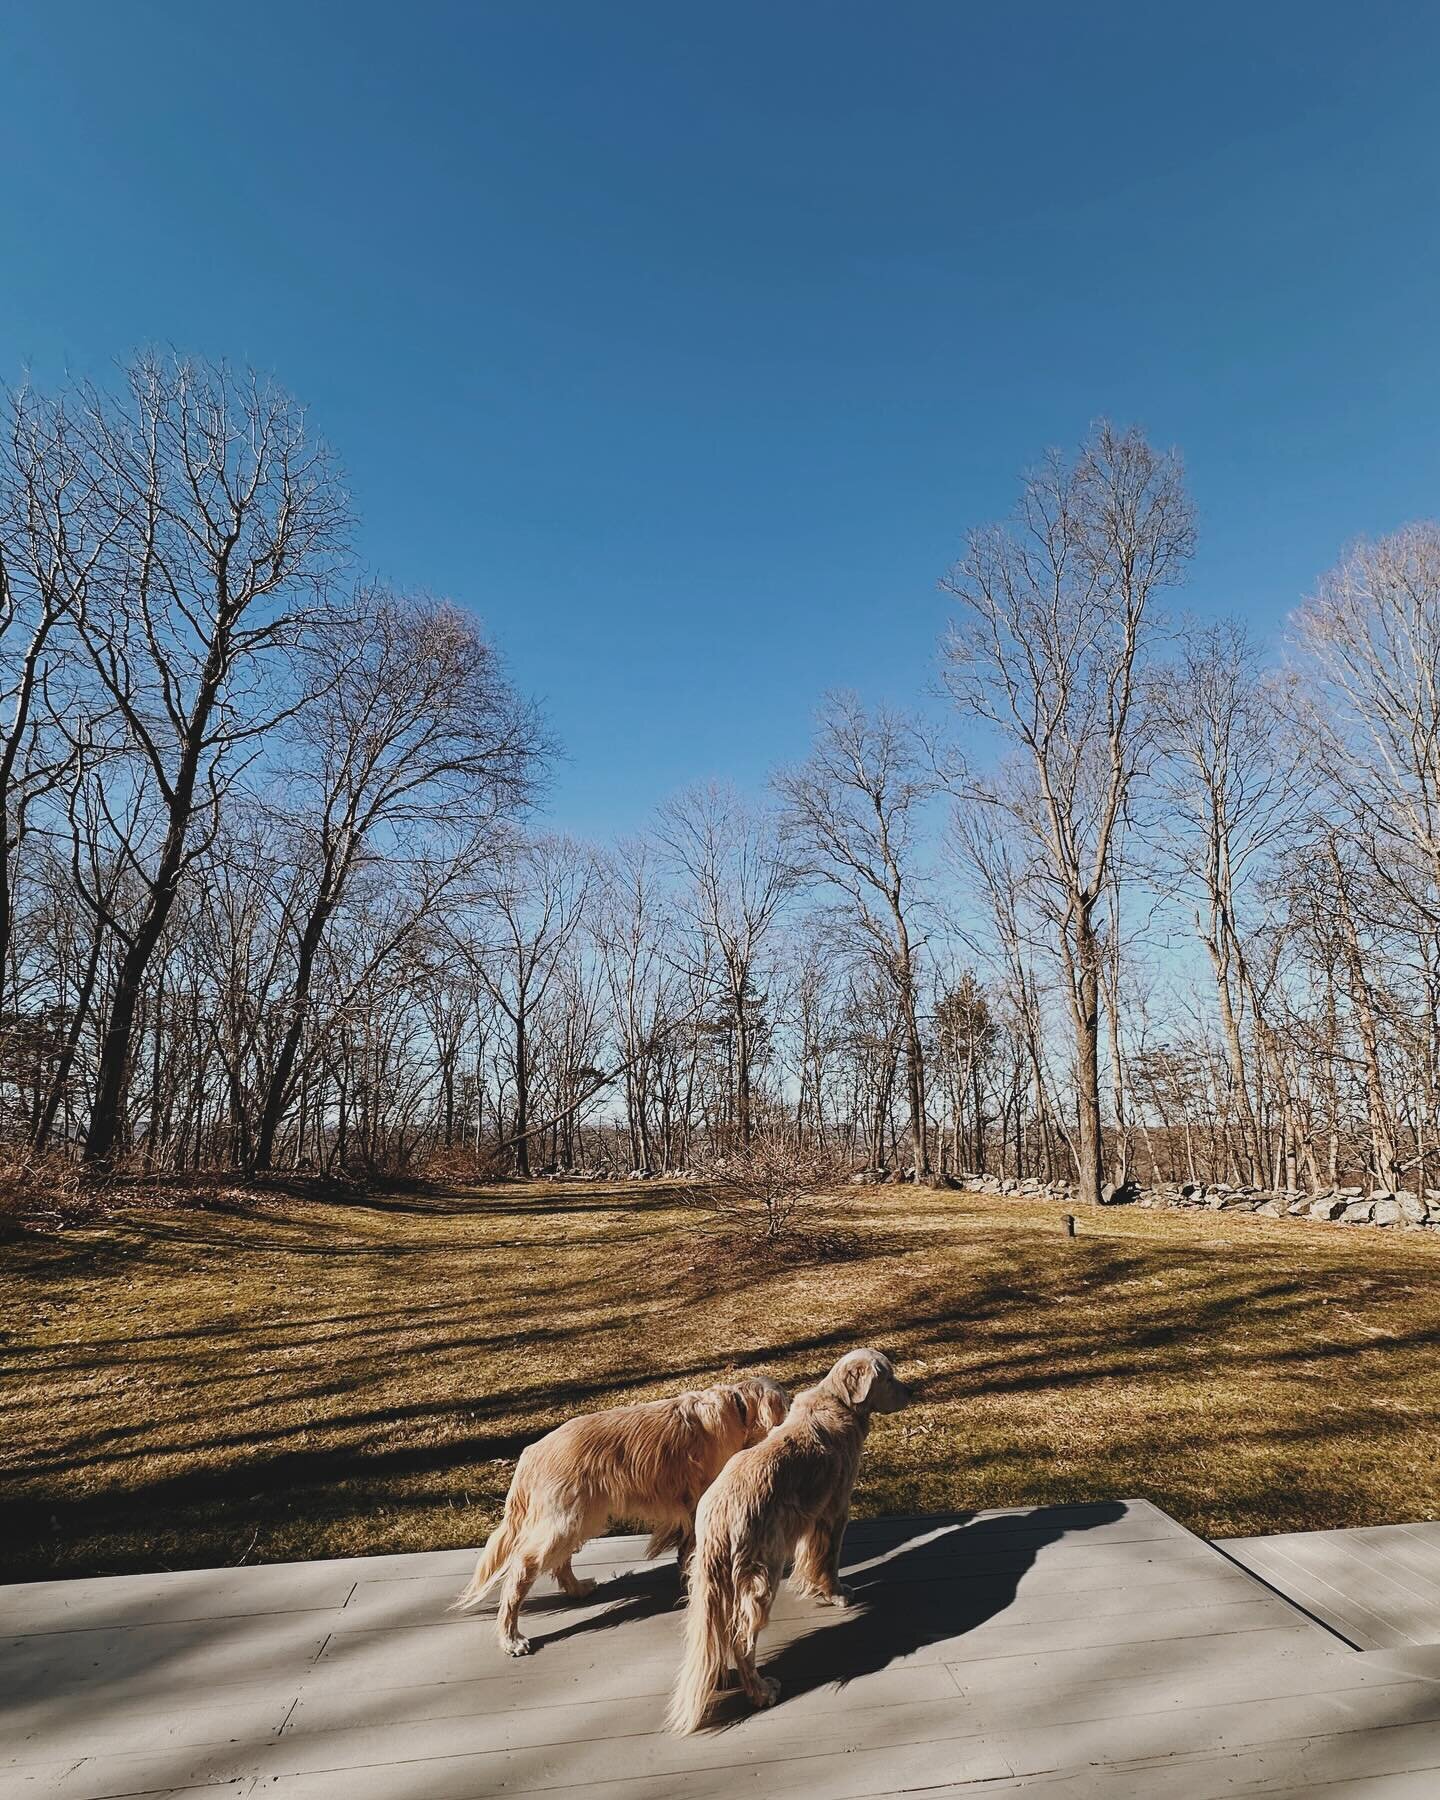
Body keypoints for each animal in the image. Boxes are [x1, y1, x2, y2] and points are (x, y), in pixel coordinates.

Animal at [450, 1375, 788, 1656]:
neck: (737, 1408)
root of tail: (531, 1452)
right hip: (565, 1521)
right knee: (521, 1569)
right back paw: (511, 1637)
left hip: (580, 1518)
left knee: (560, 1562)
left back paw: (578, 1589)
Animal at [666, 1353, 910, 1728]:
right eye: (888, 1377)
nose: (911, 1392)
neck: (838, 1401)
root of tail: (718, 1514)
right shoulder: (835, 1510)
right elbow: (829, 1561)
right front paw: (836, 1594)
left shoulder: (811, 1520)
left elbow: (811, 1560)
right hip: (762, 1576)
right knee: (741, 1639)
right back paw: (760, 1691)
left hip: (710, 1582)